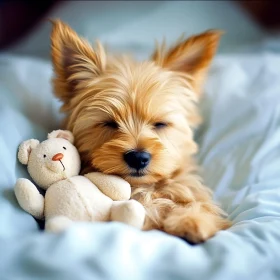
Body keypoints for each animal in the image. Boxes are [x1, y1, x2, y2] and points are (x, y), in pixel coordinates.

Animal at [50, 20, 232, 243]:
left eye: (160, 124)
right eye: (109, 123)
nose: (138, 158)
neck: (140, 188)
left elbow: (199, 204)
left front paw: (191, 221)